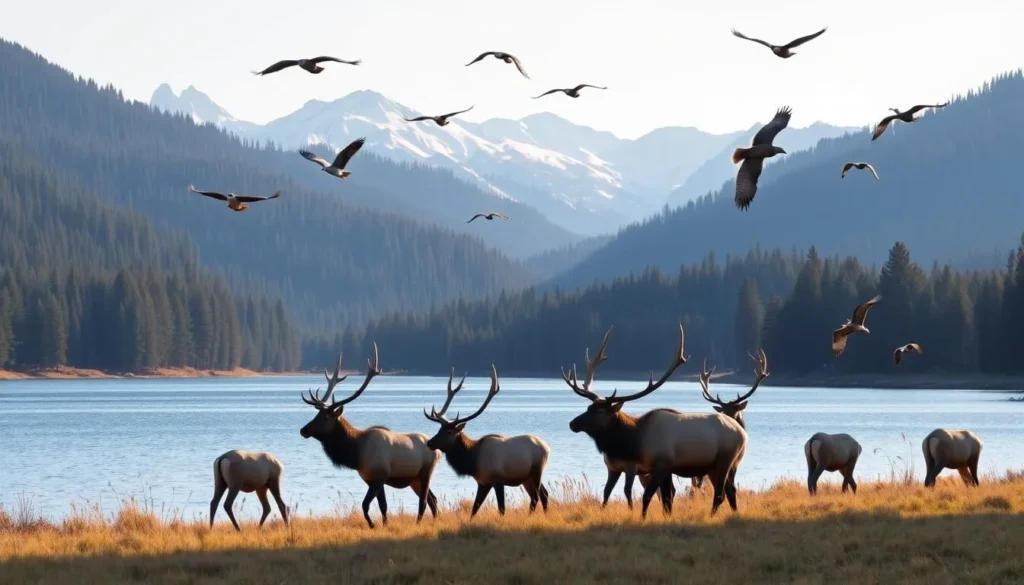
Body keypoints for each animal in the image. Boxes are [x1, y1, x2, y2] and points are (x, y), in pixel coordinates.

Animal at [299, 344, 441, 528]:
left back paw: (418, 524)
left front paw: (373, 525)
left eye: (325, 417)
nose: (304, 430)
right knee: (433, 499)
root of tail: (438, 451)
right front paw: (384, 525)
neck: (356, 454)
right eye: (316, 415)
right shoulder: (371, 479)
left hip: (426, 472)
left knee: (424, 502)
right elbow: (383, 507)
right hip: (414, 479)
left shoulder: (379, 477)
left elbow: (365, 505)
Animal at [423, 365, 551, 516]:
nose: (429, 442)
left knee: (536, 497)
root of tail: (547, 447)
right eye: (439, 429)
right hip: (527, 477)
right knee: (544, 494)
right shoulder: (483, 482)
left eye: (449, 432)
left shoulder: (498, 480)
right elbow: (474, 509)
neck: (473, 460)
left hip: (537, 471)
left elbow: (501, 508)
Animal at [564, 324, 748, 518]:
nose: (573, 423)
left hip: (726, 460)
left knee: (720, 493)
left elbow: (648, 496)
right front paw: (667, 517)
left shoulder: (661, 464)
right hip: (713, 467)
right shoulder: (660, 469)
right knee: (731, 491)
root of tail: (742, 432)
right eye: (588, 407)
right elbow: (666, 499)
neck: (635, 442)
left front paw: (642, 518)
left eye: (599, 411)